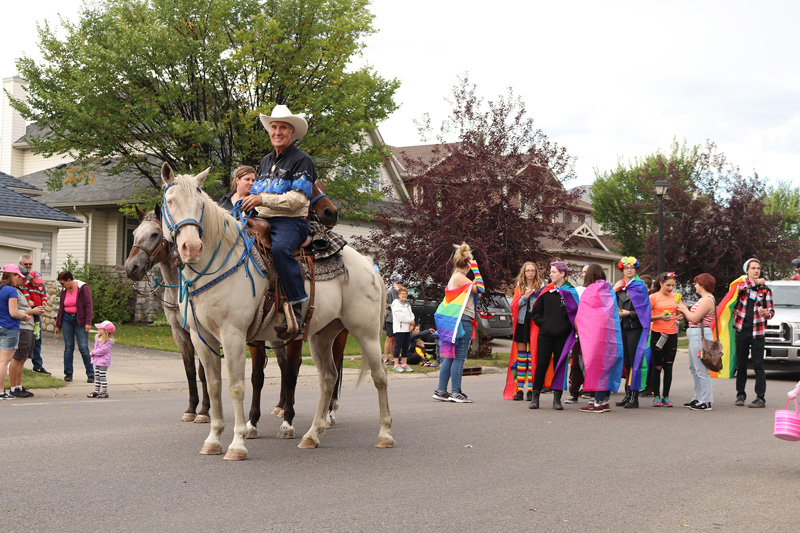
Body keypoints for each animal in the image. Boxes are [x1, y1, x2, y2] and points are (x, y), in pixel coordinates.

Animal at [159, 164, 390, 460]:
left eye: (200, 205)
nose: (191, 247)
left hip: (366, 332)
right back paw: (312, 435)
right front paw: (213, 440)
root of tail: (367, 263)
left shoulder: (233, 335)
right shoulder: (203, 339)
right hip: (322, 335)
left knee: (379, 376)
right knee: (328, 378)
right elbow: (214, 385)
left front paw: (238, 443)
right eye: (170, 202)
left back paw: (384, 435)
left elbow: (237, 387)